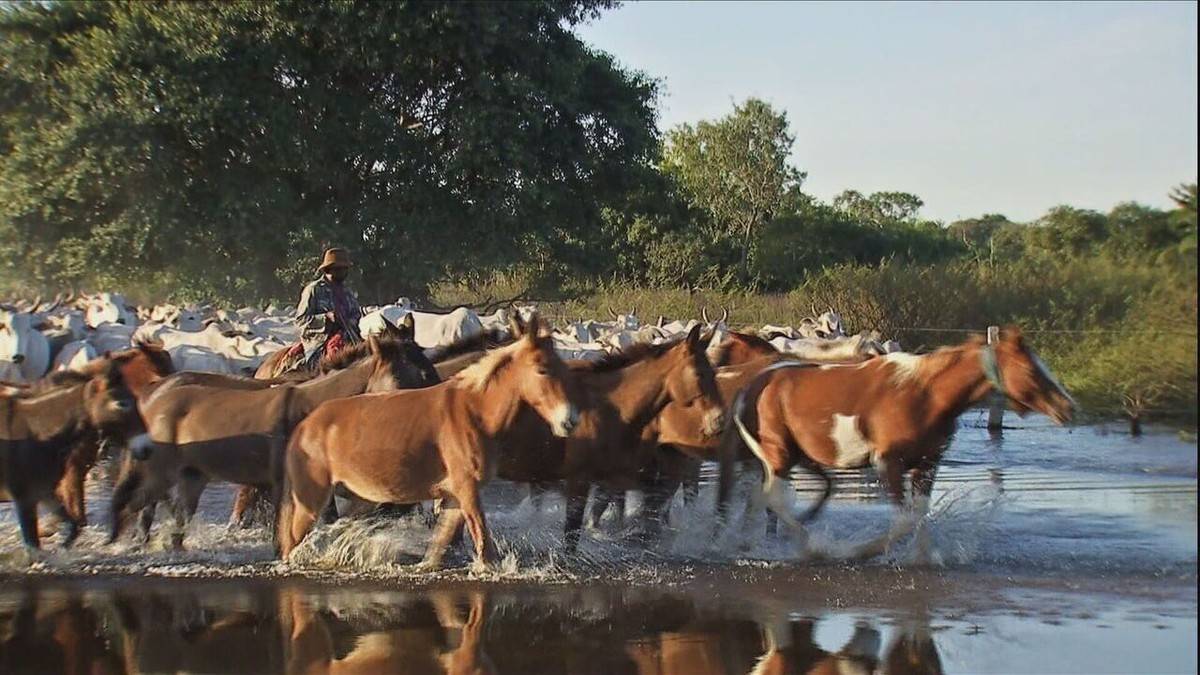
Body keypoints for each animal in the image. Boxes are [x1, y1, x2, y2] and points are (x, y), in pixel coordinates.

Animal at [1, 357, 151, 547]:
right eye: (122, 404)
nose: (146, 447)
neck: (35, 430)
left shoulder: (45, 491)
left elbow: (72, 522)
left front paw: (64, 543)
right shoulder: (26, 497)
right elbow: (34, 543)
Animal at [278, 312, 583, 566]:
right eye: (542, 369)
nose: (569, 421)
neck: (473, 411)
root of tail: (304, 425)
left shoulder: (455, 497)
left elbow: (442, 544)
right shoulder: (467, 491)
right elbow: (485, 548)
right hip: (311, 501)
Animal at [715, 326, 1075, 562]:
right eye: (1030, 370)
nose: (1068, 407)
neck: (925, 394)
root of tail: (751, 386)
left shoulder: (926, 465)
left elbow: (920, 514)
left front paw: (922, 558)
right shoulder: (888, 463)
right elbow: (905, 520)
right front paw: (860, 551)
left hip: (789, 458)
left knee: (760, 498)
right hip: (777, 454)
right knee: (772, 498)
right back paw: (811, 546)